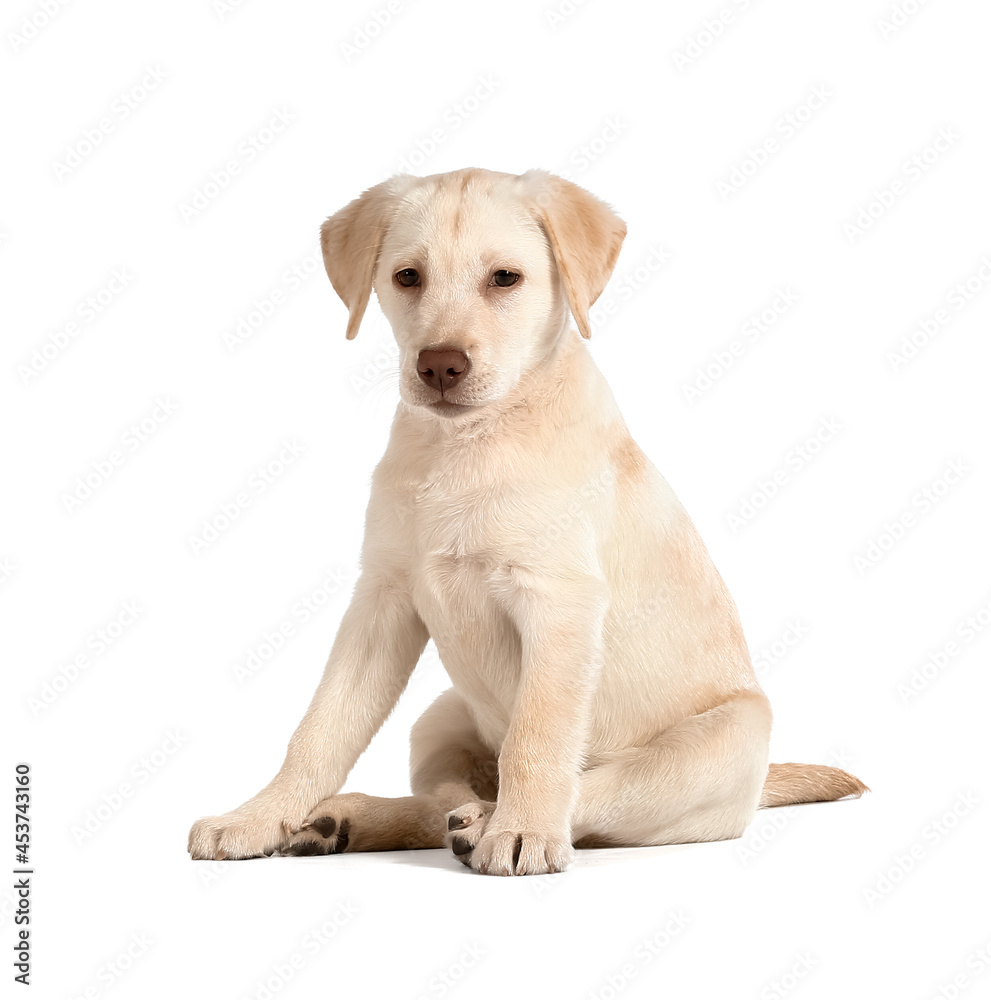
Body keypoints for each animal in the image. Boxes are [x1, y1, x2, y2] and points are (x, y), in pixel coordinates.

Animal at [188, 168, 868, 872]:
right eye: (407, 277)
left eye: (505, 278)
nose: (439, 365)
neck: (467, 444)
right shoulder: (381, 600)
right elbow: (321, 726)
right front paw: (259, 815)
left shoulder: (559, 603)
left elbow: (537, 739)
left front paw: (522, 832)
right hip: (436, 718)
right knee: (442, 805)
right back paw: (350, 820)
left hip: (715, 748)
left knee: (590, 791)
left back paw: (489, 823)